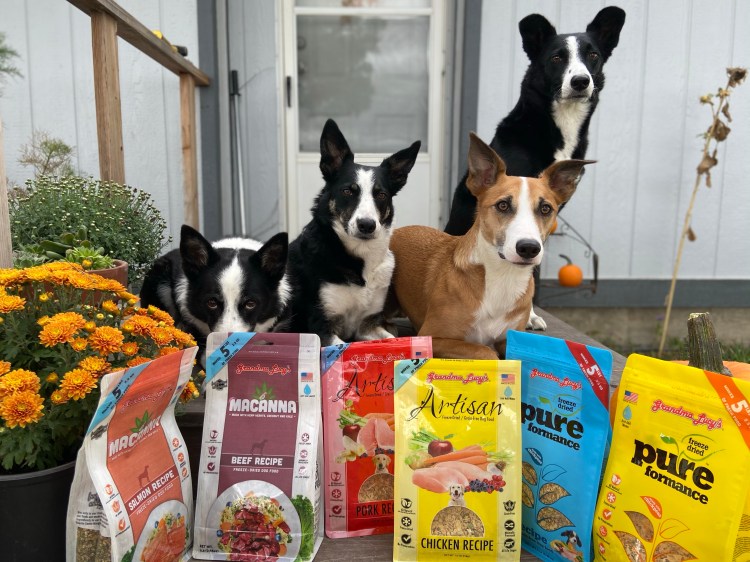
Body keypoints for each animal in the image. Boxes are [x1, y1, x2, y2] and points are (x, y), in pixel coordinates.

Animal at [286, 119, 420, 346]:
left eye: (381, 195)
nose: (367, 225)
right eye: (348, 191)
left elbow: (391, 338)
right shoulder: (322, 328)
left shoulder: (368, 325)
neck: (360, 258)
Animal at [388, 133, 592, 359]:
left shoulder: (510, 338)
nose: (529, 248)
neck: (502, 276)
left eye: (546, 209)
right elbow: (484, 350)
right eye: (503, 205)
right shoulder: (432, 337)